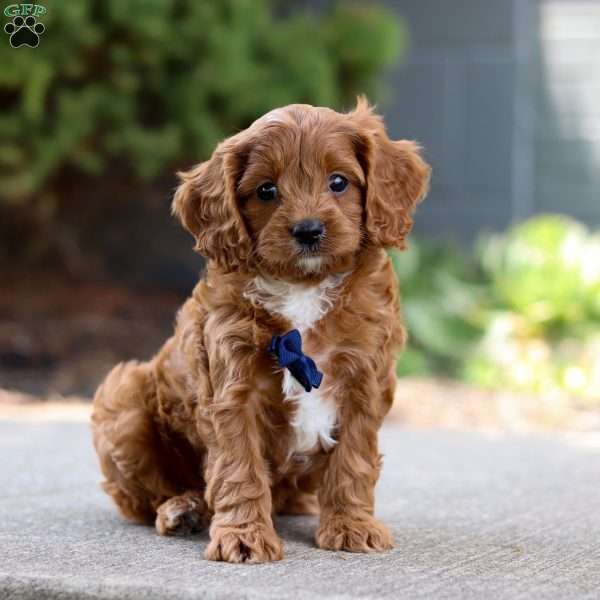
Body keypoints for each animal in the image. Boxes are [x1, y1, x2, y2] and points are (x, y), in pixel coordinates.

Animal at [92, 98, 432, 564]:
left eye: (339, 182)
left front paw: (351, 526)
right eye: (266, 190)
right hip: (122, 397)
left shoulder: (364, 378)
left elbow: (353, 460)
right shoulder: (231, 386)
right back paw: (183, 509)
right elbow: (239, 467)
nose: (308, 230)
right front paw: (243, 536)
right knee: (144, 499)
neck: (302, 287)